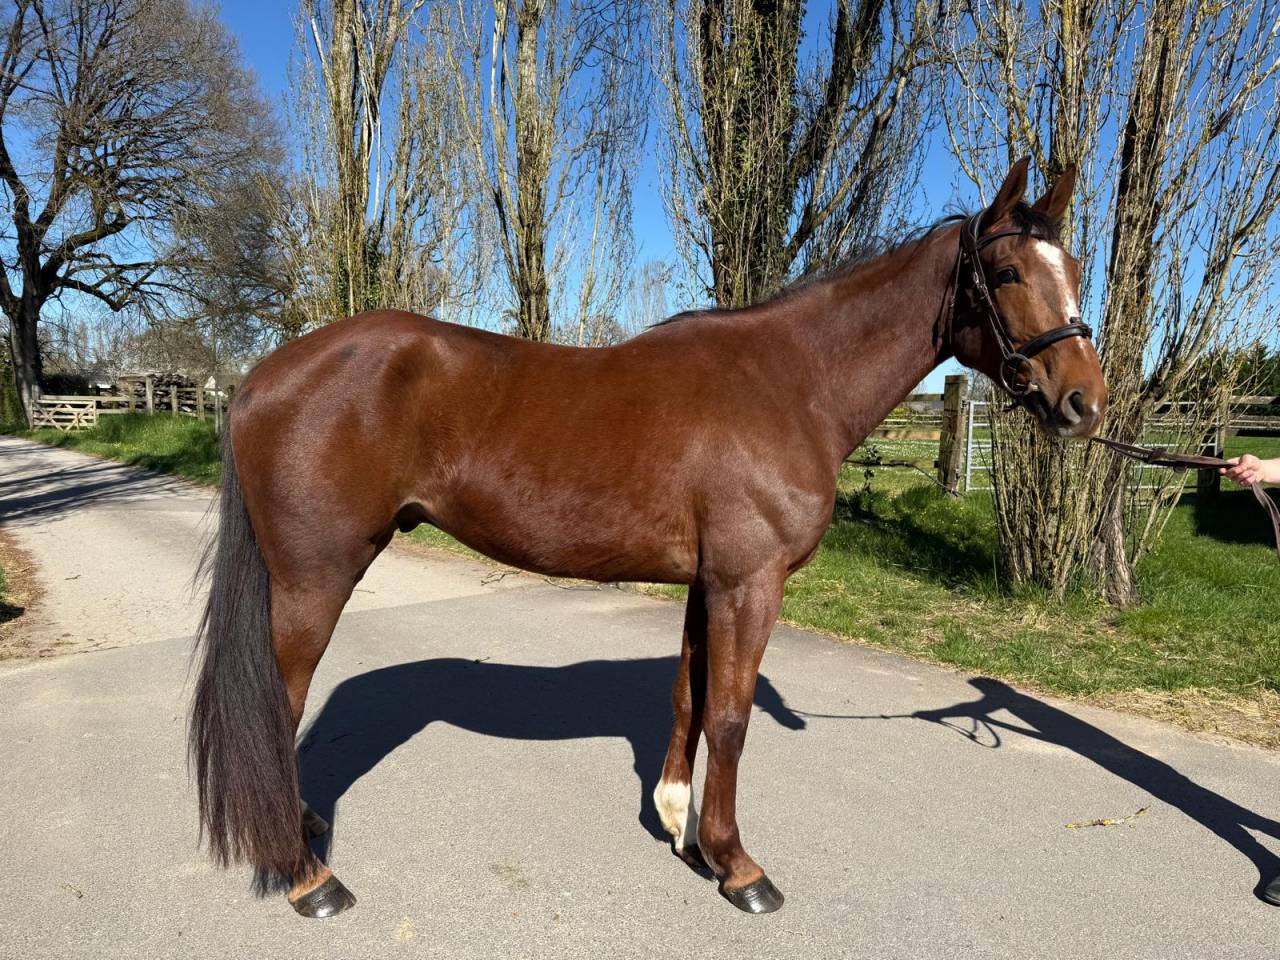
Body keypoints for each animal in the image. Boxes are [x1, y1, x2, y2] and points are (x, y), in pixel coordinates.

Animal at [191, 157, 1106, 918]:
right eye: (1007, 271)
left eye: (1073, 271)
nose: (1085, 403)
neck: (790, 382)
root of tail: (262, 378)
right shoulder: (750, 581)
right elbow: (731, 715)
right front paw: (739, 867)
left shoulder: (709, 582)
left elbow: (689, 698)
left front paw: (680, 827)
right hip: (315, 579)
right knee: (279, 707)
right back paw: (308, 877)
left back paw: (300, 827)